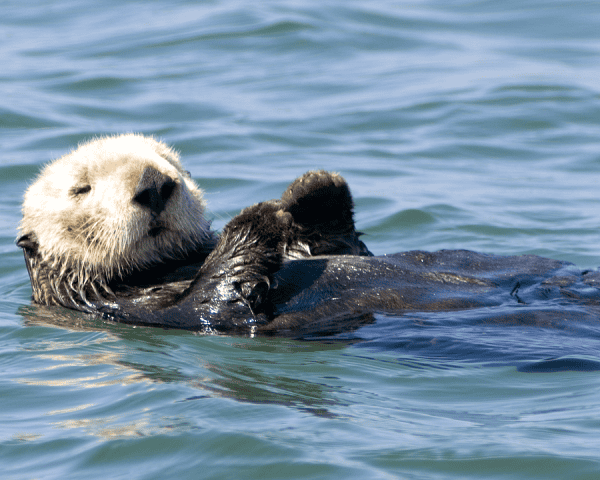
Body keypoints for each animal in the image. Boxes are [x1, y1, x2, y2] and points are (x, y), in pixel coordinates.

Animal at [17, 134, 370, 316]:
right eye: (81, 189)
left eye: (168, 161)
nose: (153, 184)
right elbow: (217, 298)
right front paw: (261, 215)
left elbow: (343, 244)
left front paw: (313, 187)